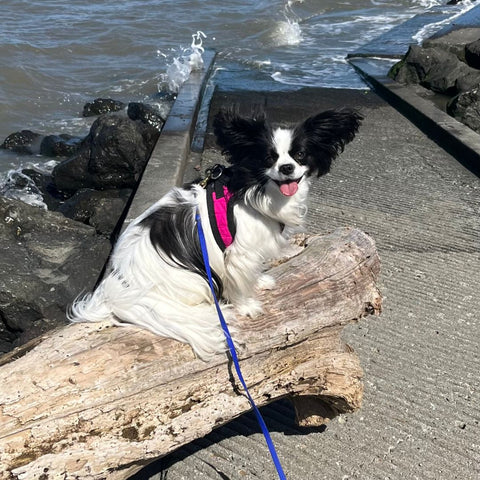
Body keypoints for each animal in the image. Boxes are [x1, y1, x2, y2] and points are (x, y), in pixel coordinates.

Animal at [69, 107, 362, 358]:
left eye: (300, 155)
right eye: (269, 158)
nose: (286, 168)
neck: (258, 191)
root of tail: (119, 285)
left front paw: (260, 282)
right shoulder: (238, 253)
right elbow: (239, 283)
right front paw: (247, 306)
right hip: (193, 280)